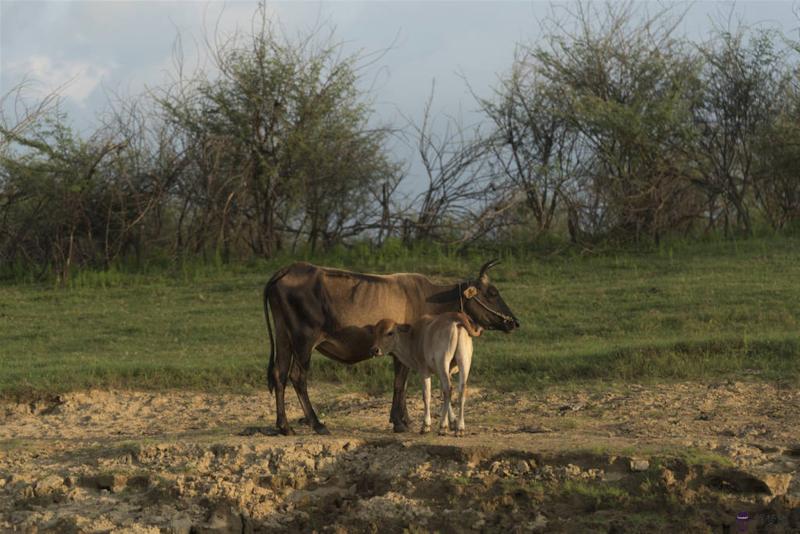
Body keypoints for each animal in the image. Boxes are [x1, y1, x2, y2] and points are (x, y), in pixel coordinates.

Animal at [266, 262, 520, 438]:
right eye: (492, 293)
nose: (514, 322)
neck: (432, 299)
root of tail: (290, 268)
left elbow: (402, 384)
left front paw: (404, 419)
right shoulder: (404, 350)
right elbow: (400, 383)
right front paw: (400, 422)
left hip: (284, 337)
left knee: (279, 375)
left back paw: (284, 426)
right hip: (304, 341)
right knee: (298, 377)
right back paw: (317, 424)